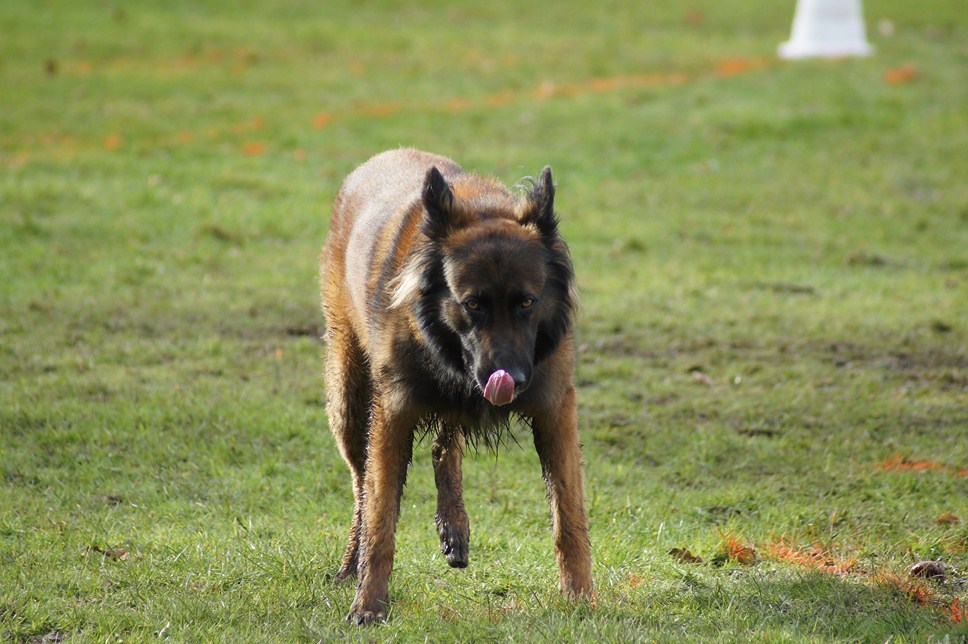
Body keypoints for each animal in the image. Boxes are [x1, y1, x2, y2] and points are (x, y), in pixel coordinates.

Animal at [320, 147, 588, 624]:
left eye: (527, 302)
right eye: (472, 305)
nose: (512, 379)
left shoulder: (555, 409)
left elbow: (568, 517)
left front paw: (581, 598)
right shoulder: (393, 413)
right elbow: (380, 519)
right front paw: (369, 604)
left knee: (445, 445)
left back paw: (454, 528)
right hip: (350, 401)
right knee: (360, 484)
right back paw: (351, 563)